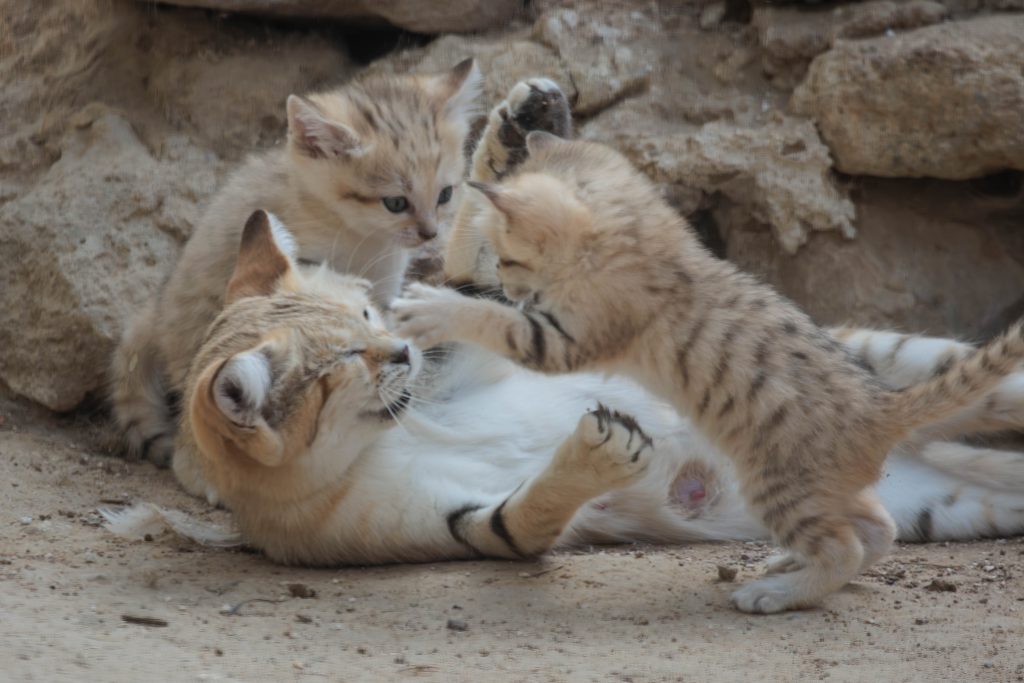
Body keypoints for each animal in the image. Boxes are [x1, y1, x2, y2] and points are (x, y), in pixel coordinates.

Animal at [109, 59, 482, 479]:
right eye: (396, 203)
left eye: (445, 195)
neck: (358, 232)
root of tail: (155, 312)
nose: (430, 233)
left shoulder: (383, 286)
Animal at [391, 82, 1024, 613]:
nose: (512, 286)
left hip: (778, 486)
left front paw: (436, 308)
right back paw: (789, 564)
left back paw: (776, 593)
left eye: (510, 258)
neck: (643, 237)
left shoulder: (565, 336)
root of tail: (884, 408)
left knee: (846, 545)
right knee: (879, 528)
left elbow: (494, 320)